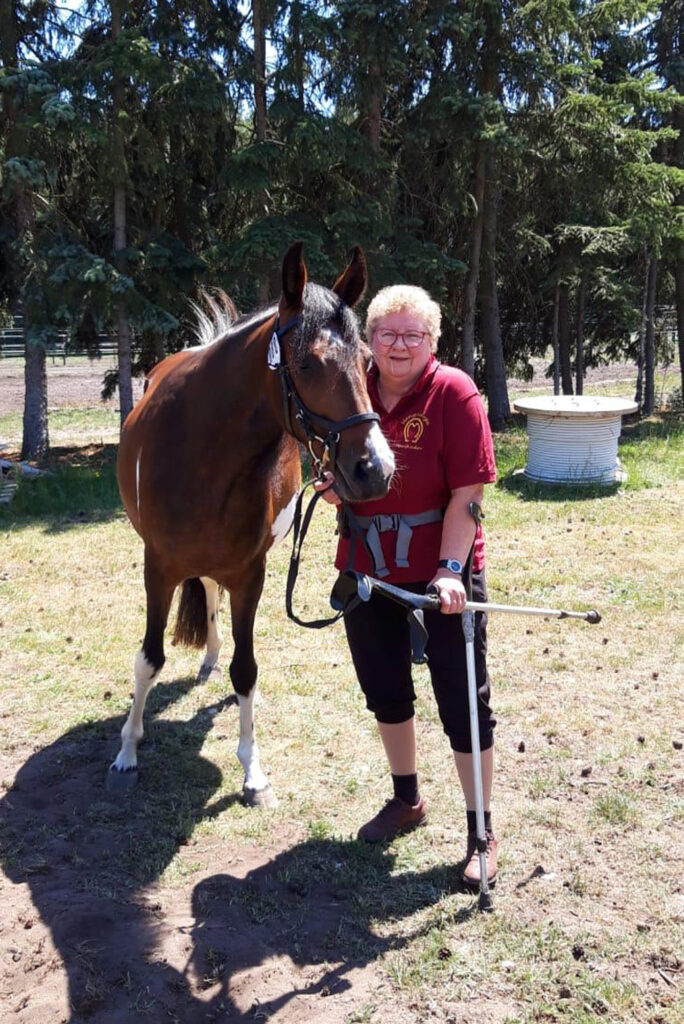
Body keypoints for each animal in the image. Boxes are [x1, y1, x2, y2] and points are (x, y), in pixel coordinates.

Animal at [109, 241, 393, 806]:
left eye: (368, 361)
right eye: (305, 363)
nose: (373, 469)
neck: (202, 451)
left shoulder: (249, 575)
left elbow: (247, 669)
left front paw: (252, 771)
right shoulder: (158, 568)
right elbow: (148, 658)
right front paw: (128, 750)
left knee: (211, 596)